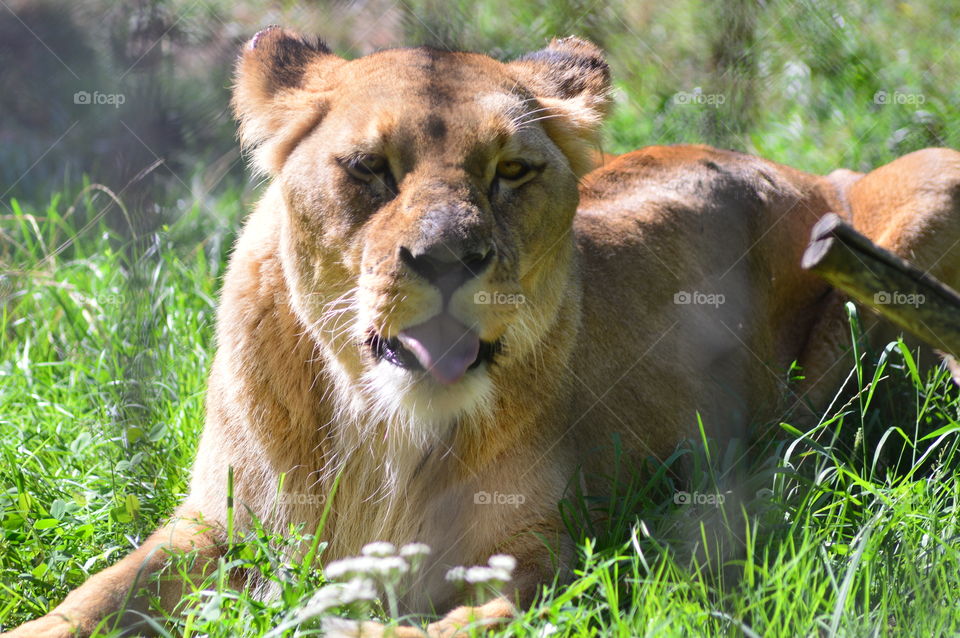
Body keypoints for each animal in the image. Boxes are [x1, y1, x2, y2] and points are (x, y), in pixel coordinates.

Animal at [5, 28, 960, 638]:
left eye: (511, 171)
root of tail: (811, 174)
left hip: (926, 185)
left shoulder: (539, 558)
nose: (448, 258)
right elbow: (95, 596)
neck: (382, 428)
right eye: (369, 168)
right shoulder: (215, 526)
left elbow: (450, 627)